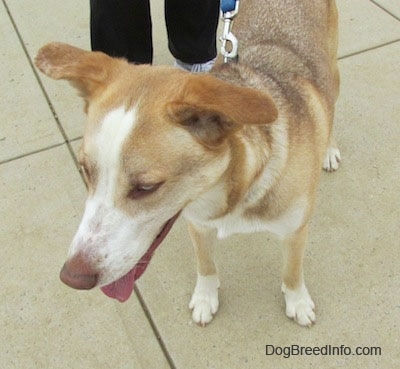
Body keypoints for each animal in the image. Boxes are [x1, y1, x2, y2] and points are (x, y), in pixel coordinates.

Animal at [35, 0, 340, 324]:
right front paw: (205, 298)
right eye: (85, 170)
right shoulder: (198, 223)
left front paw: (298, 302)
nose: (72, 278)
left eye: (146, 187)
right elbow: (205, 265)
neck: (231, 191)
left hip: (333, 74)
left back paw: (329, 149)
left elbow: (292, 272)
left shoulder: (295, 232)